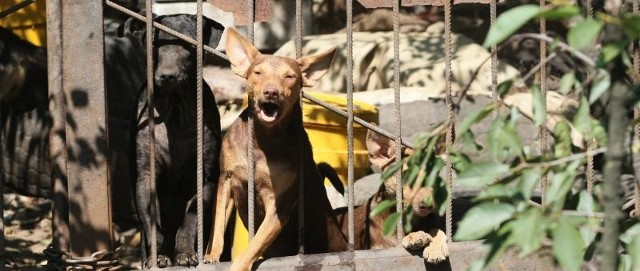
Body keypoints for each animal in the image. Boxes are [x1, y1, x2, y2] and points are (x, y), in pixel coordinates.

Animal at [118, 13, 225, 268]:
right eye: (153, 44)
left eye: (188, 46)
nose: (167, 76)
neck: (174, 110)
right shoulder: (145, 176)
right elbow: (153, 223)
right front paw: (159, 257)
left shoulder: (205, 178)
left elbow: (190, 220)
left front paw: (185, 253)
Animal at [204, 27, 344, 271]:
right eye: (257, 73)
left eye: (290, 77)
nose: (271, 92)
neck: (263, 141)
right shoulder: (226, 180)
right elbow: (218, 225)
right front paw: (211, 255)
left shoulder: (278, 207)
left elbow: (252, 246)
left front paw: (239, 264)